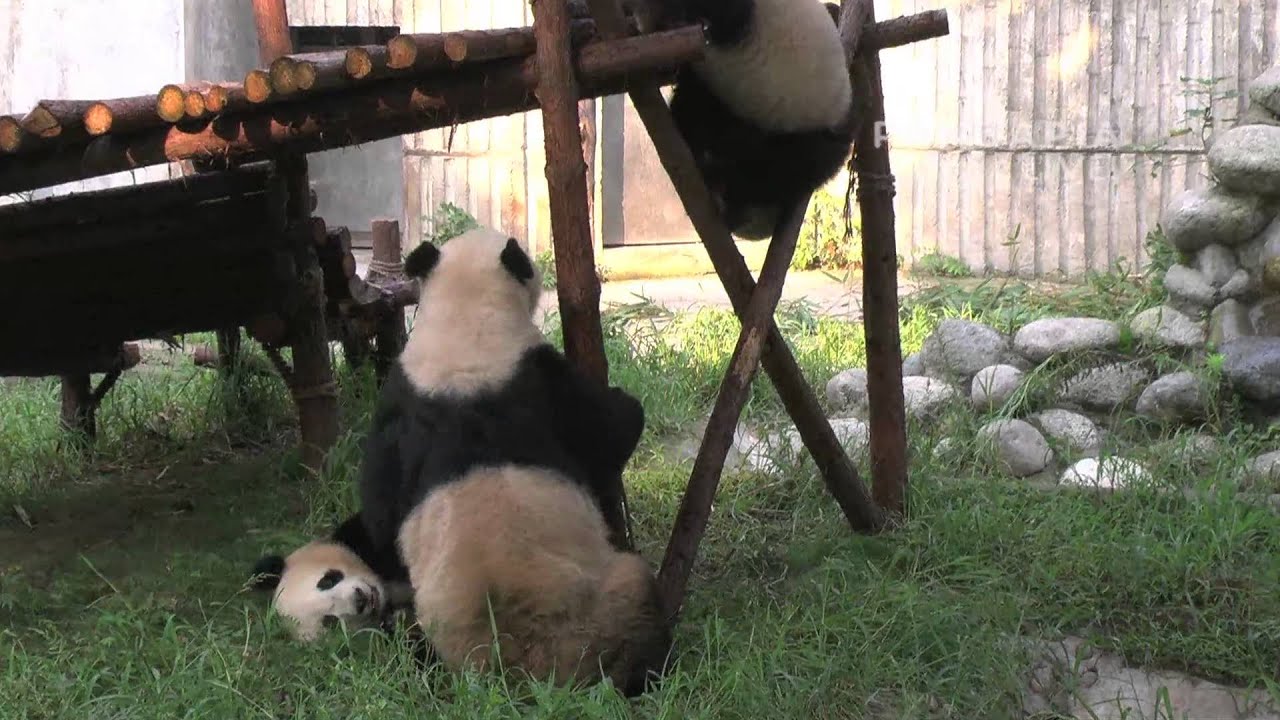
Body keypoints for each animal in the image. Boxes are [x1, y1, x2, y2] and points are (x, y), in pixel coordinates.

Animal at [356, 226, 672, 695]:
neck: (464, 325)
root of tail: (519, 666)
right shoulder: (542, 379)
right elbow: (614, 429)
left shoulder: (399, 403)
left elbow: (380, 508)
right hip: (601, 612)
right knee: (637, 604)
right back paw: (645, 672)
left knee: (410, 634)